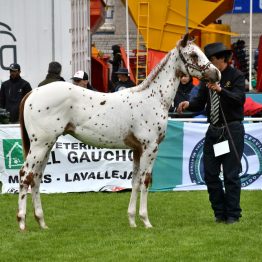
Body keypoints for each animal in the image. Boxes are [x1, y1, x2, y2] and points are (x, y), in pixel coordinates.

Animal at [16, 33, 221, 230]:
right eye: (193, 55)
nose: (216, 74)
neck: (153, 98)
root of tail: (32, 93)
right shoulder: (150, 148)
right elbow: (146, 180)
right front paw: (146, 221)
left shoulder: (137, 150)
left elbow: (135, 181)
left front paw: (132, 220)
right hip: (40, 145)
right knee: (25, 175)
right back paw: (22, 222)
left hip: (47, 146)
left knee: (36, 178)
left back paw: (42, 222)